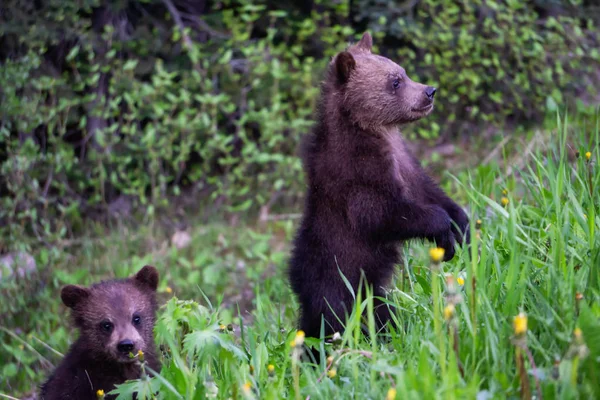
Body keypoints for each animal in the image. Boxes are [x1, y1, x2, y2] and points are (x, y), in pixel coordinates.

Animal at [290, 32, 468, 342]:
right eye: (395, 81)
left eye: (403, 72)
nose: (429, 91)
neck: (372, 130)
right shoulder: (357, 173)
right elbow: (382, 214)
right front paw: (442, 229)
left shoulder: (404, 161)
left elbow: (428, 189)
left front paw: (461, 224)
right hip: (338, 283)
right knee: (341, 320)